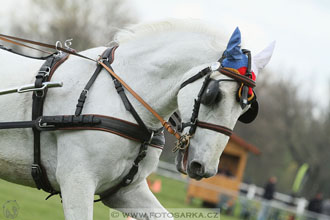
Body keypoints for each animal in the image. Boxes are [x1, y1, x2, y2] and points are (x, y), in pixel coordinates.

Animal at [0, 19, 274, 219]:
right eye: (214, 95)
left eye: (247, 110)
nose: (204, 168)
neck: (118, 96)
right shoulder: (76, 182)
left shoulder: (126, 191)